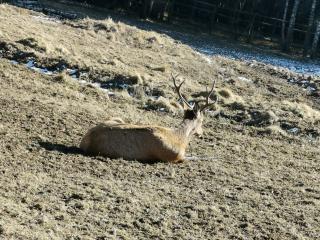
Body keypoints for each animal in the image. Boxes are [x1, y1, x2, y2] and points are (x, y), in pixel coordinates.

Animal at [80, 74, 219, 163]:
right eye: (202, 120)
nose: (202, 132)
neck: (180, 139)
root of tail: (84, 141)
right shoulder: (174, 157)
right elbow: (196, 157)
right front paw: (212, 157)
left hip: (117, 118)